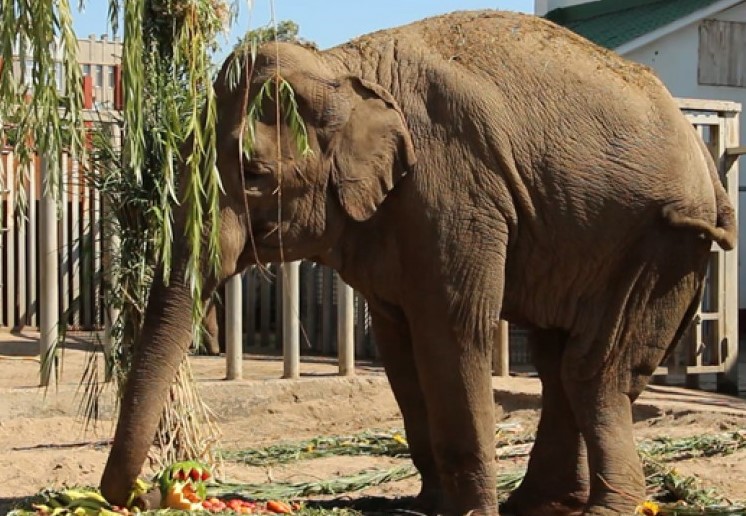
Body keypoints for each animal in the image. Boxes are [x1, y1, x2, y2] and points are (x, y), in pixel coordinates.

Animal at [97, 9, 732, 516]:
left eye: (254, 175)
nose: (150, 492)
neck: (343, 68)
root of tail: (701, 147)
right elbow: (398, 342)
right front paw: (429, 506)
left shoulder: (454, 189)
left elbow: (452, 331)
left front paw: (471, 514)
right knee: (559, 365)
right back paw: (539, 505)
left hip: (665, 241)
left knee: (592, 370)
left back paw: (604, 508)